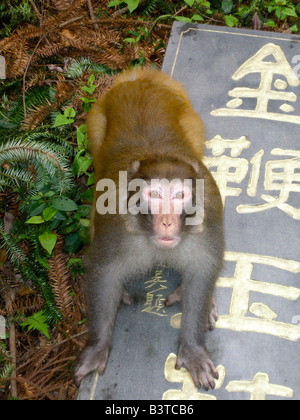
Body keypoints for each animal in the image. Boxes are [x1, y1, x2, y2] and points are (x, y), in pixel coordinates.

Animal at [74, 67, 225, 392]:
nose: (166, 221)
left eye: (179, 196)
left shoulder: (208, 223)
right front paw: (97, 348)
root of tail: (140, 79)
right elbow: (104, 274)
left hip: (192, 120)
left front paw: (192, 348)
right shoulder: (115, 227)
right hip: (95, 121)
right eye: (154, 195)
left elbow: (203, 272)